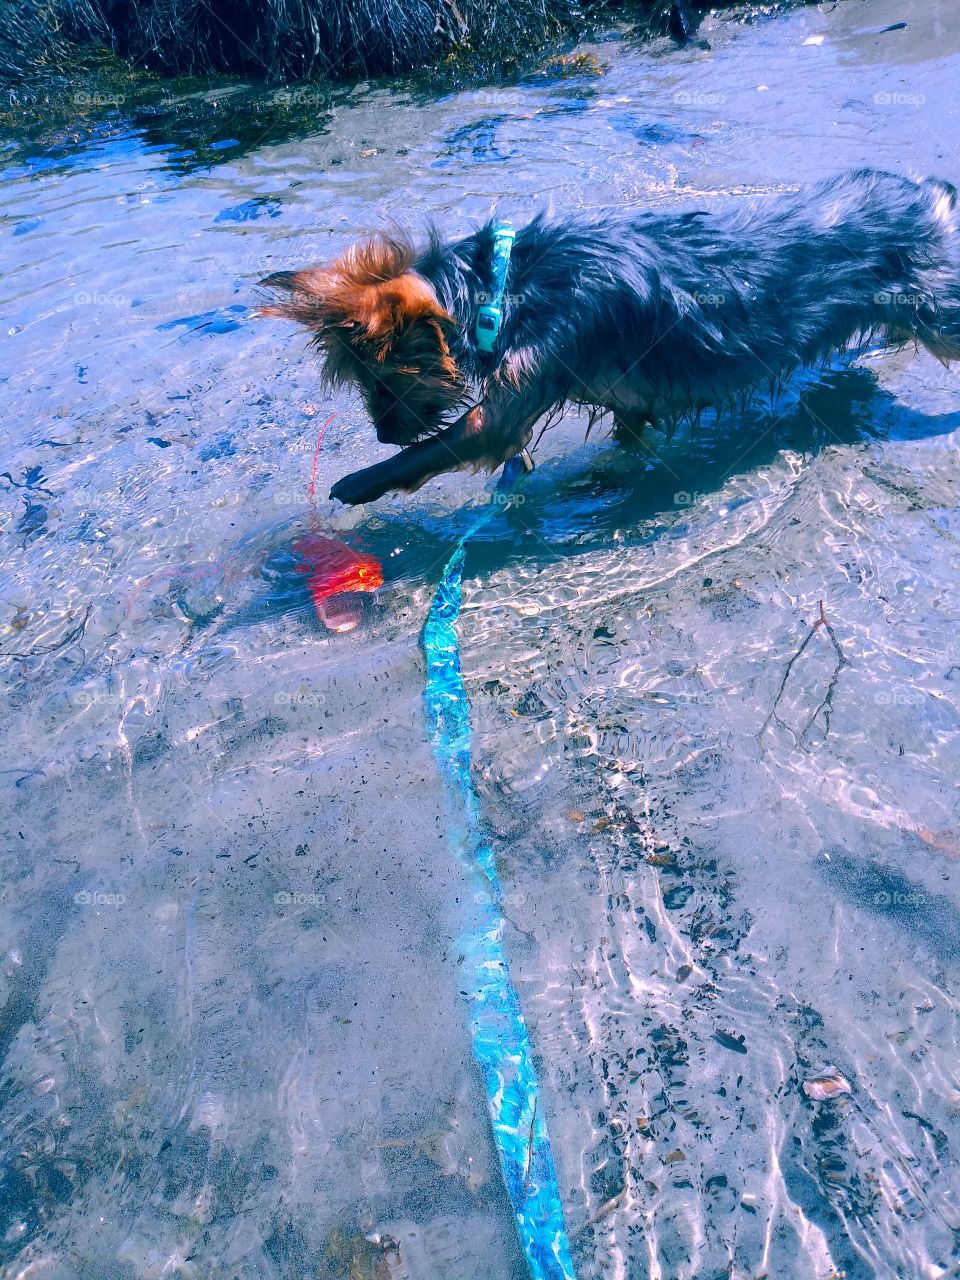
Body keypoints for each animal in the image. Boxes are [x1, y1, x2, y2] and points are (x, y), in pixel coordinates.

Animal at [259, 168, 960, 504]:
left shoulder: (514, 398)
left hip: (938, 311)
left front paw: (359, 481)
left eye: (386, 382)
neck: (505, 286)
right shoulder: (631, 404)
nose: (380, 433)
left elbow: (439, 448)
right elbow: (628, 440)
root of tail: (927, 195)